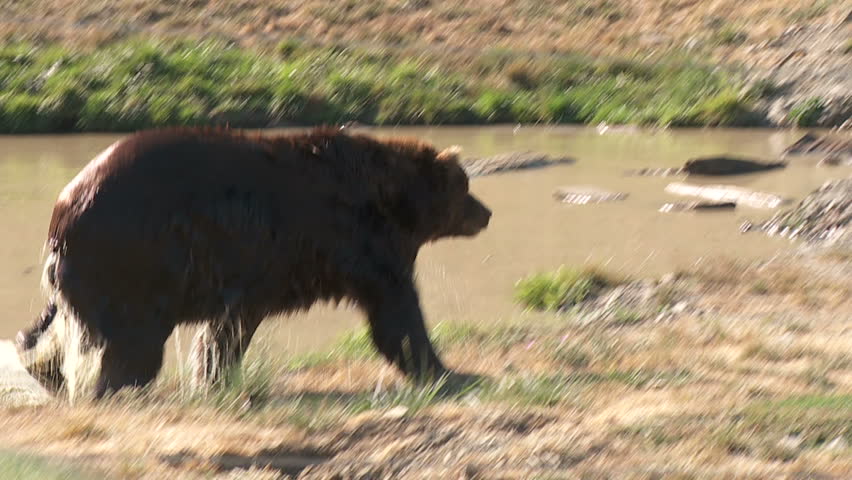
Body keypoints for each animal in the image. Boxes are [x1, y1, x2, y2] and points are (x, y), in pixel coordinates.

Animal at [15, 126, 492, 400]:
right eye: (464, 185)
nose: (486, 212)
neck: (393, 200)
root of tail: (63, 210)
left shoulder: (259, 271)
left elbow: (228, 330)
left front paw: (212, 375)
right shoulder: (359, 245)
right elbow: (397, 311)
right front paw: (449, 371)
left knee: (59, 330)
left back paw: (48, 373)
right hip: (136, 258)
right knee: (131, 340)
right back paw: (119, 388)